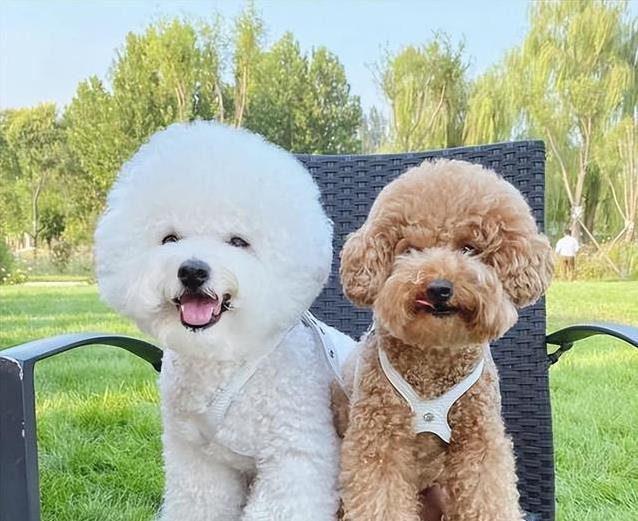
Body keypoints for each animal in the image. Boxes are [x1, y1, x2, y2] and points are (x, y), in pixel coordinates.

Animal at [95, 121, 354, 521]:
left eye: (238, 241)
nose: (192, 271)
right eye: (170, 238)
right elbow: (199, 502)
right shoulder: (197, 461)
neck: (223, 358)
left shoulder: (294, 457)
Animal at [333, 159, 553, 521]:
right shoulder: (379, 440)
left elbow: (488, 495)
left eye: (469, 248)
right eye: (409, 250)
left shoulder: (480, 440)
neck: (434, 359)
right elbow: (381, 497)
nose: (438, 287)